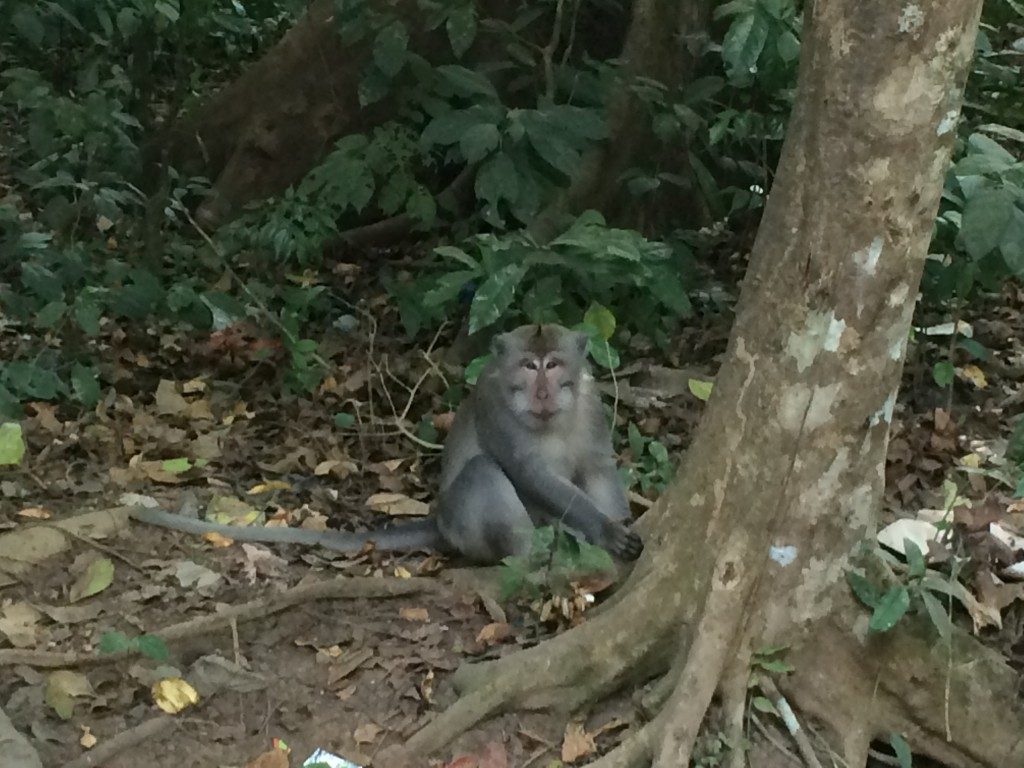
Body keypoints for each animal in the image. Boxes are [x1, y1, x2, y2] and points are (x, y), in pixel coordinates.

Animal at [128, 325, 638, 565]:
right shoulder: (495, 405)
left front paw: (619, 527)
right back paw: (534, 555)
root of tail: (438, 524)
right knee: (482, 473)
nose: (543, 392)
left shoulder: (592, 404)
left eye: (554, 364)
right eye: (529, 366)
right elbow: (528, 472)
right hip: (464, 529)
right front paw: (606, 531)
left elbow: (597, 468)